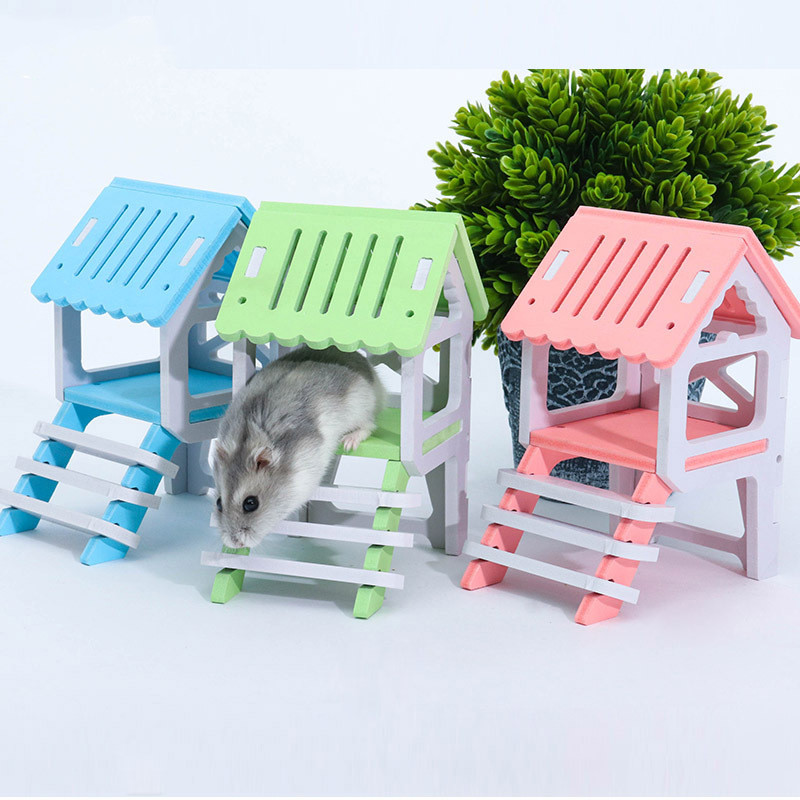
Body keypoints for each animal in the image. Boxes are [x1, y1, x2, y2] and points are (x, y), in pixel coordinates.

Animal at [212, 345, 384, 549]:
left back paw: (349, 441)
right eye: (218, 503)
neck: (245, 441)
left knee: (369, 426)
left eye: (251, 503)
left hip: (362, 407)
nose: (234, 543)